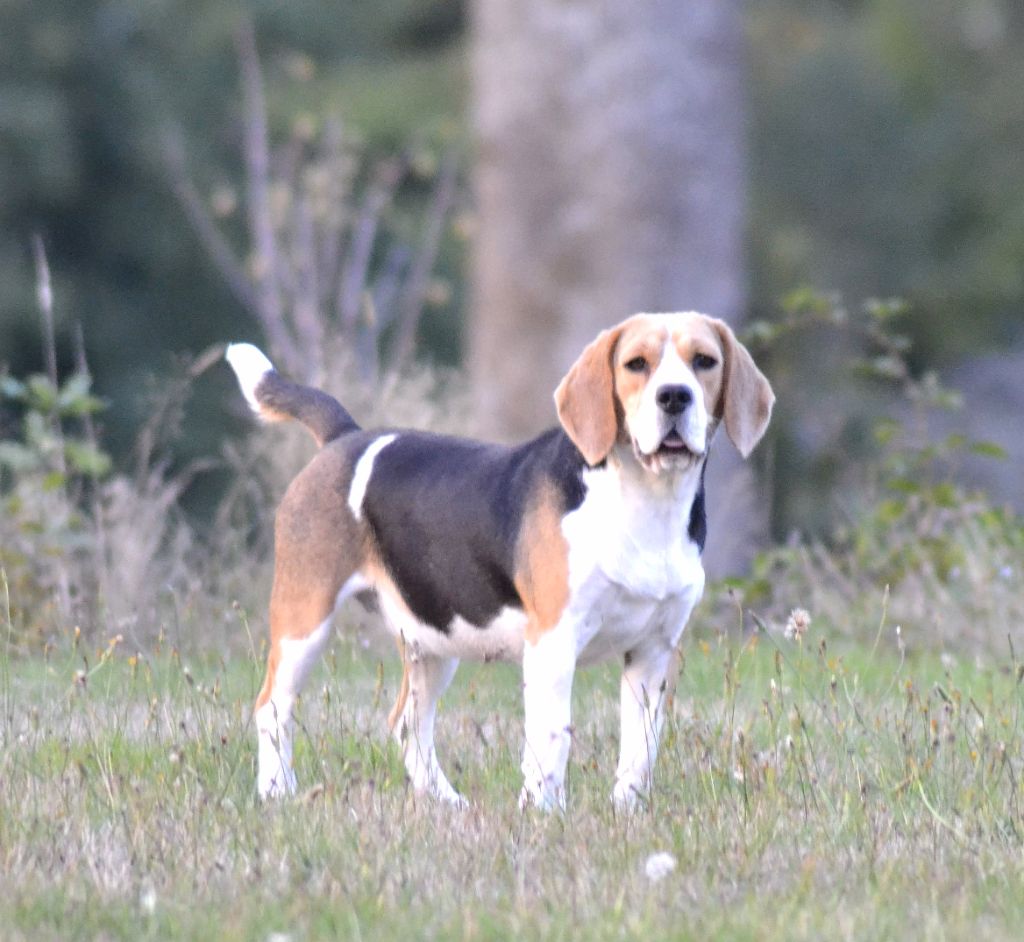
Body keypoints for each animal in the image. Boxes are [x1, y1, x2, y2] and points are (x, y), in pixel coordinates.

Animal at [228, 311, 770, 810]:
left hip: (432, 638)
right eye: (636, 364)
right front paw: (544, 814)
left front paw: (626, 814)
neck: (643, 500)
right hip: (304, 620)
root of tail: (347, 437)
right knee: (272, 707)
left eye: (705, 361)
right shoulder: (554, 642)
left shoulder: (654, 650)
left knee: (407, 724)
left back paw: (446, 803)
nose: (675, 396)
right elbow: (552, 737)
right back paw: (276, 791)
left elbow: (640, 749)